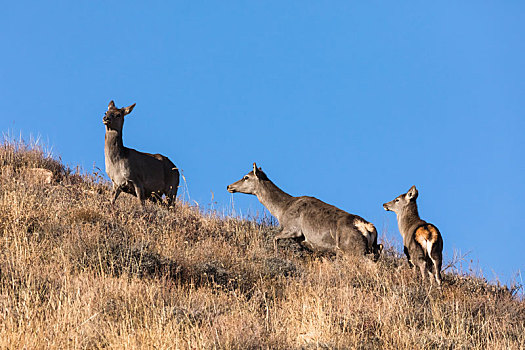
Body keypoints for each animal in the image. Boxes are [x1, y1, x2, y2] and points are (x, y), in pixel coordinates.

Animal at [225, 162, 380, 260]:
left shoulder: (293, 229)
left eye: (246, 177)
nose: (229, 186)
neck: (281, 210)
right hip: (373, 248)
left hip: (353, 249)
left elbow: (275, 237)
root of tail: (367, 227)